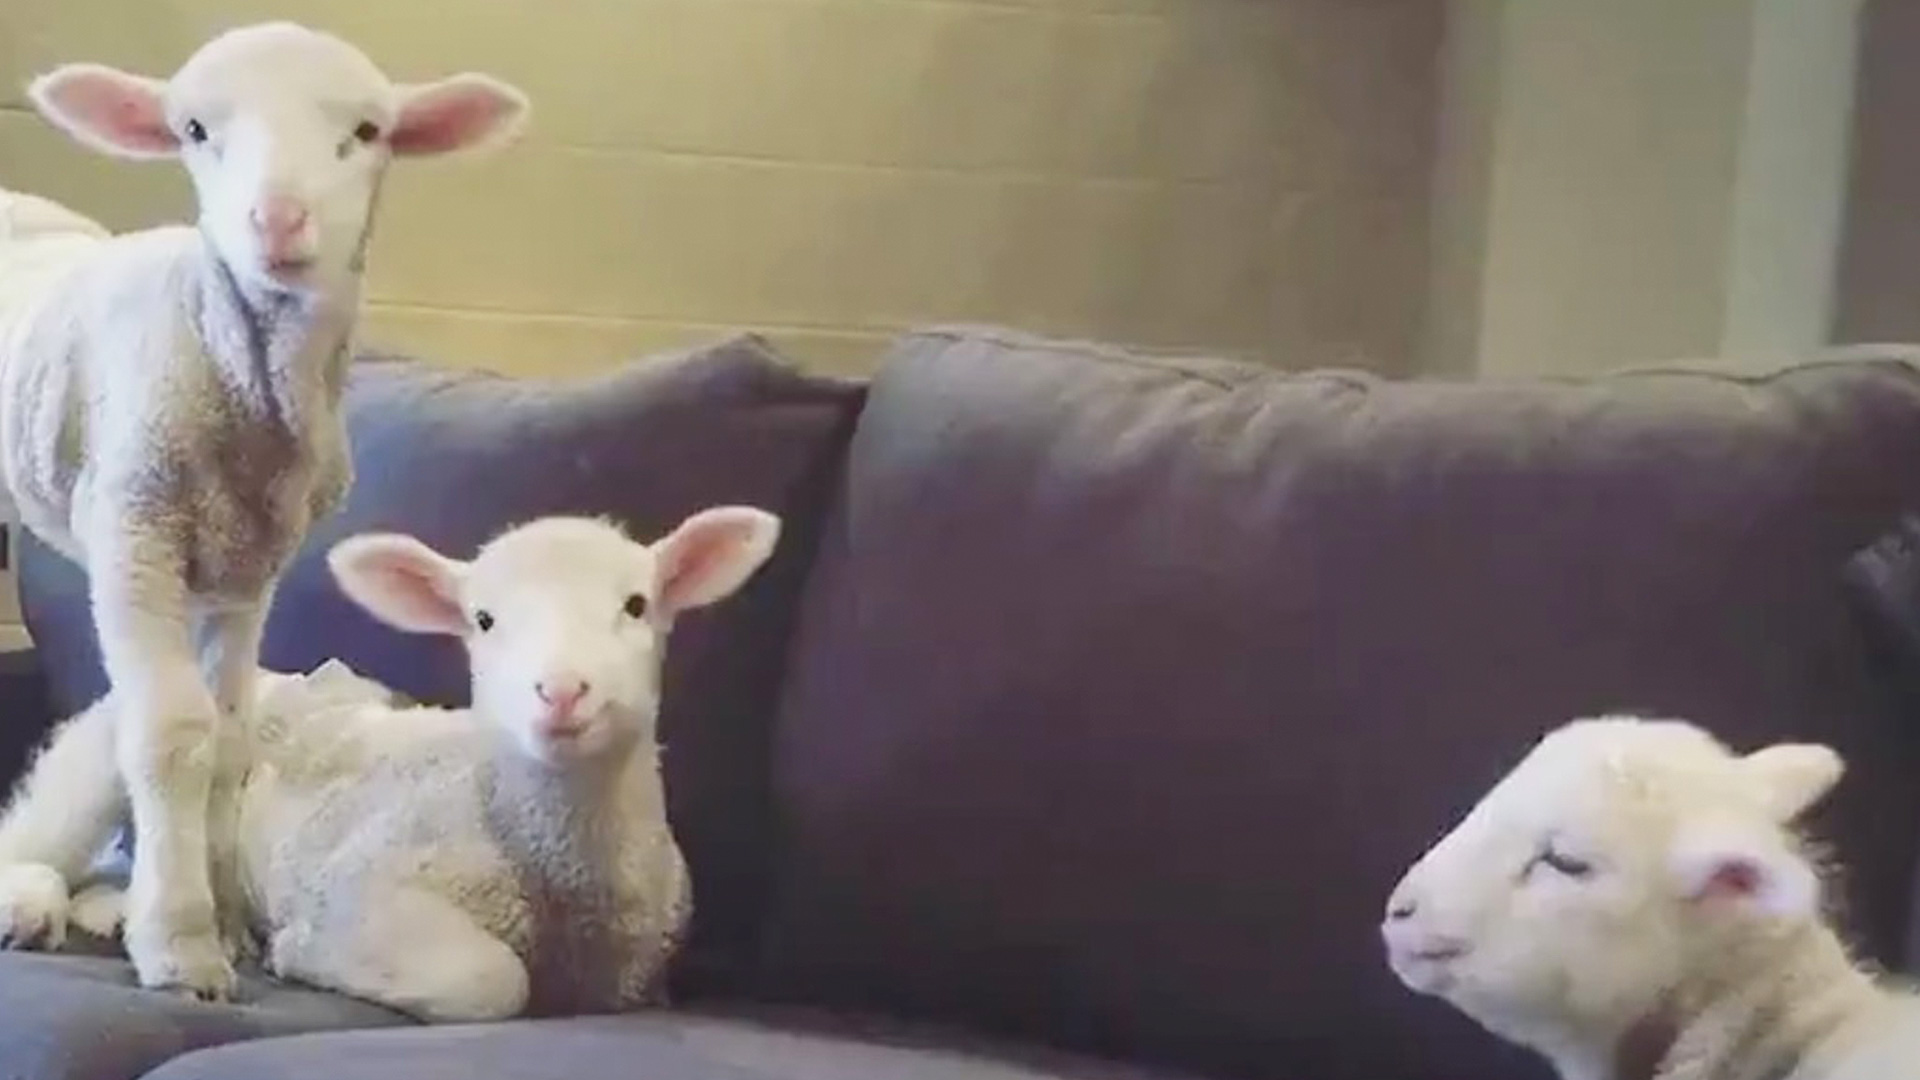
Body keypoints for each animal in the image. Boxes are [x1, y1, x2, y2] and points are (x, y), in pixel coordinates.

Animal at [0, 22, 528, 1000]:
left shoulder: (247, 567)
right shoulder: (135, 533)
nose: (277, 221)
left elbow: (232, 740)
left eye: (368, 131)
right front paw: (180, 945)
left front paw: (229, 926)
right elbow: (171, 734)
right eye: (194, 130)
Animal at [0, 507, 781, 1022]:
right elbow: (490, 981)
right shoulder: (363, 887)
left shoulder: (639, 977)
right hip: (104, 754)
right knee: (36, 837)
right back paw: (30, 908)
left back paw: (111, 913)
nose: (561, 692)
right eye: (483, 620)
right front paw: (300, 954)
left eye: (637, 605)